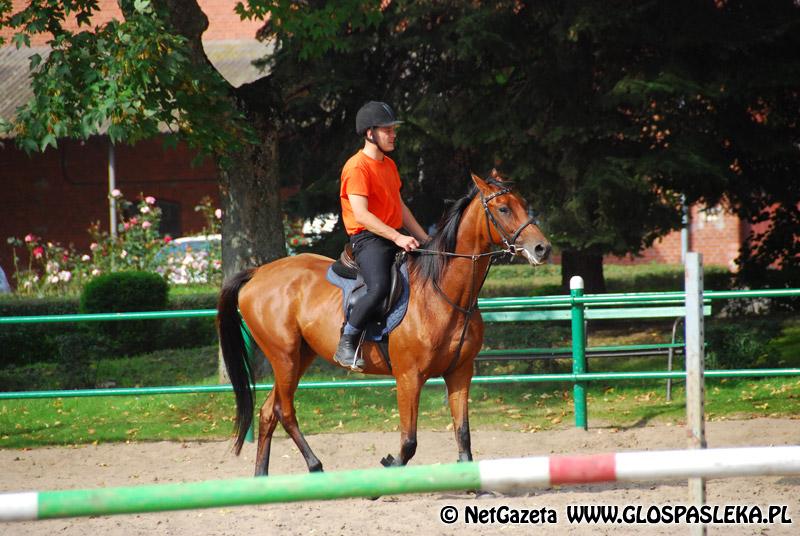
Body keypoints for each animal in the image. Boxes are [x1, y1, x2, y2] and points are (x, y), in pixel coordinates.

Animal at [217, 170, 552, 476]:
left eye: (524, 203)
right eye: (503, 208)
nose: (542, 248)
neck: (440, 292)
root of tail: (258, 273)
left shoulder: (460, 372)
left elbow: (464, 435)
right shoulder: (408, 377)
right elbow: (409, 442)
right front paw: (389, 468)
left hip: (300, 356)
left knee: (267, 412)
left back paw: (262, 478)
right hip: (284, 357)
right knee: (283, 411)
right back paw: (315, 465)